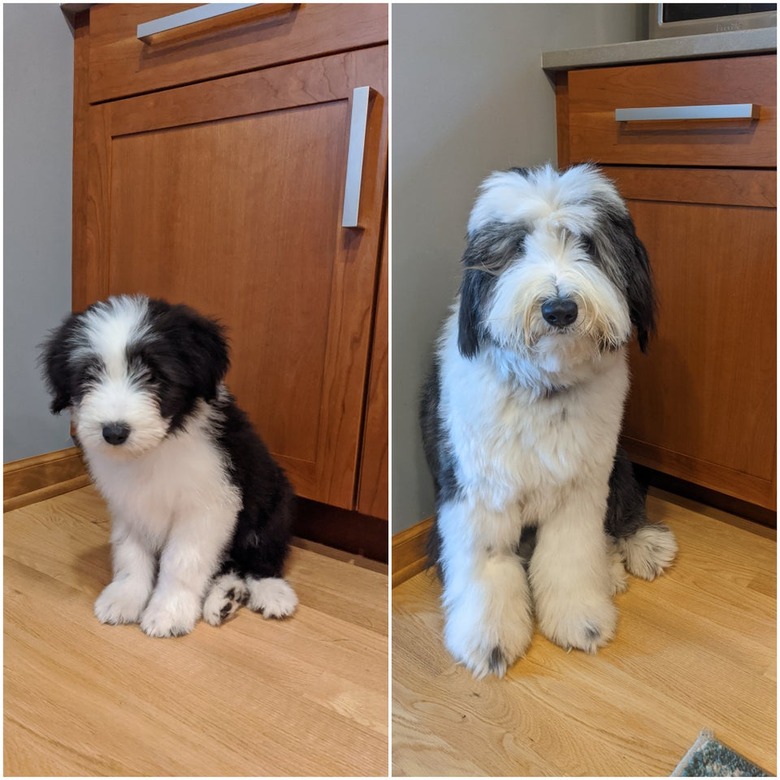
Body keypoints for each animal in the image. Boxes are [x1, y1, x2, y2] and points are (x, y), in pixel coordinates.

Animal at [42, 296, 298, 636]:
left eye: (154, 376)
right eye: (88, 375)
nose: (113, 432)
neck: (154, 450)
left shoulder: (207, 507)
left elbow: (182, 562)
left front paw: (168, 611)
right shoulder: (129, 503)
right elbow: (130, 553)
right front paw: (124, 597)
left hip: (274, 507)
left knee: (260, 558)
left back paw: (271, 593)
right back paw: (226, 598)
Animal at [420, 163, 676, 676]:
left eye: (587, 243)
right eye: (517, 246)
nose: (560, 308)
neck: (544, 389)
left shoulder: (582, 486)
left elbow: (571, 555)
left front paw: (580, 620)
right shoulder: (478, 492)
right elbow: (488, 563)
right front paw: (490, 640)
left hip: (618, 462)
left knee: (623, 508)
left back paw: (636, 551)